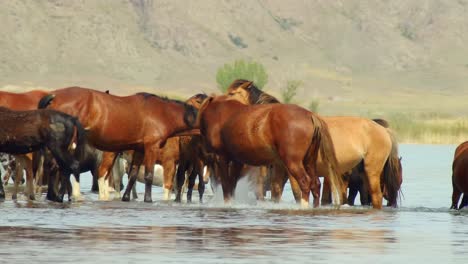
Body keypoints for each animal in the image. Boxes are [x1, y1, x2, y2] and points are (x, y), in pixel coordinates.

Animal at [37, 86, 197, 202]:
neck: (163, 113)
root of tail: (54, 96)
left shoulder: (139, 149)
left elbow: (133, 175)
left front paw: (126, 198)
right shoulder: (152, 147)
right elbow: (149, 175)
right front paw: (148, 199)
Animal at [196, 94, 342, 207]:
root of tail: (310, 115)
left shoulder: (221, 157)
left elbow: (226, 185)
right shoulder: (237, 161)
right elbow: (232, 185)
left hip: (293, 162)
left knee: (305, 182)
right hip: (309, 161)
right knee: (315, 184)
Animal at [225, 78, 400, 208]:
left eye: (232, 92)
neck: (270, 121)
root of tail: (384, 130)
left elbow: (296, 193)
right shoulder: (281, 169)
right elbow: (276, 192)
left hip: (372, 170)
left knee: (376, 197)